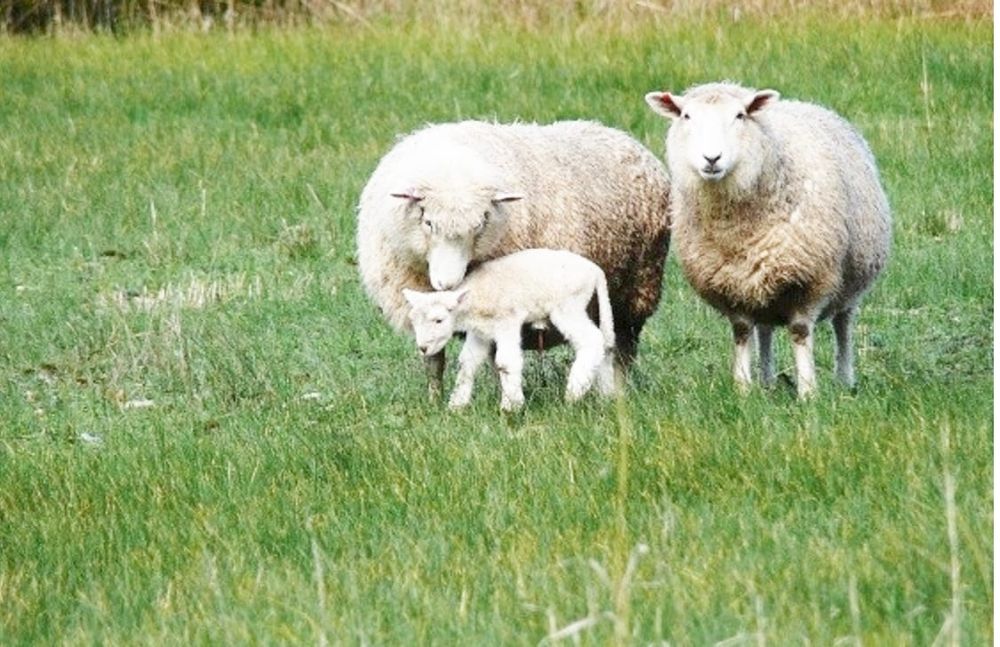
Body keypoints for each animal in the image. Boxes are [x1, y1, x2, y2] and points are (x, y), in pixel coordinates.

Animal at [402, 248, 616, 411]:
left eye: (439, 320)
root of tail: (595, 271)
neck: (476, 296)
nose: (423, 348)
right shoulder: (480, 333)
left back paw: (574, 392)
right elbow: (467, 363)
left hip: (568, 306)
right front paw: (456, 406)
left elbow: (505, 362)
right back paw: (606, 395)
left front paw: (511, 406)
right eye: (413, 321)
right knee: (604, 346)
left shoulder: (507, 321)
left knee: (592, 340)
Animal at [645, 82, 891, 398]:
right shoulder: (731, 283)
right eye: (686, 116)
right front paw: (742, 388)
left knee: (843, 325)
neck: (734, 229)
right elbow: (742, 332)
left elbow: (800, 331)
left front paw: (808, 392)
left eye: (740, 115)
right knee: (764, 329)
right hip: (763, 282)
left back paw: (845, 380)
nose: (712, 159)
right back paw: (767, 381)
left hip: (852, 279)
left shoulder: (811, 279)